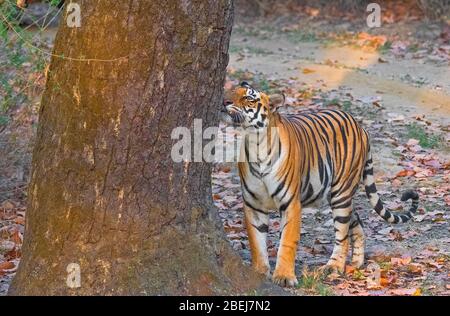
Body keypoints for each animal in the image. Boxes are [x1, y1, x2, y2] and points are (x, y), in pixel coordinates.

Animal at [221, 81, 418, 286]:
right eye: (232, 91)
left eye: (249, 98)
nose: (224, 101)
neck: (255, 143)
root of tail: (360, 127)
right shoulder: (253, 204)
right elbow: (256, 241)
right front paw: (259, 272)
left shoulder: (290, 203)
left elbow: (287, 241)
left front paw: (284, 276)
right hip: (339, 196)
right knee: (356, 223)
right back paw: (356, 262)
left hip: (341, 193)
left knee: (342, 233)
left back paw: (334, 267)